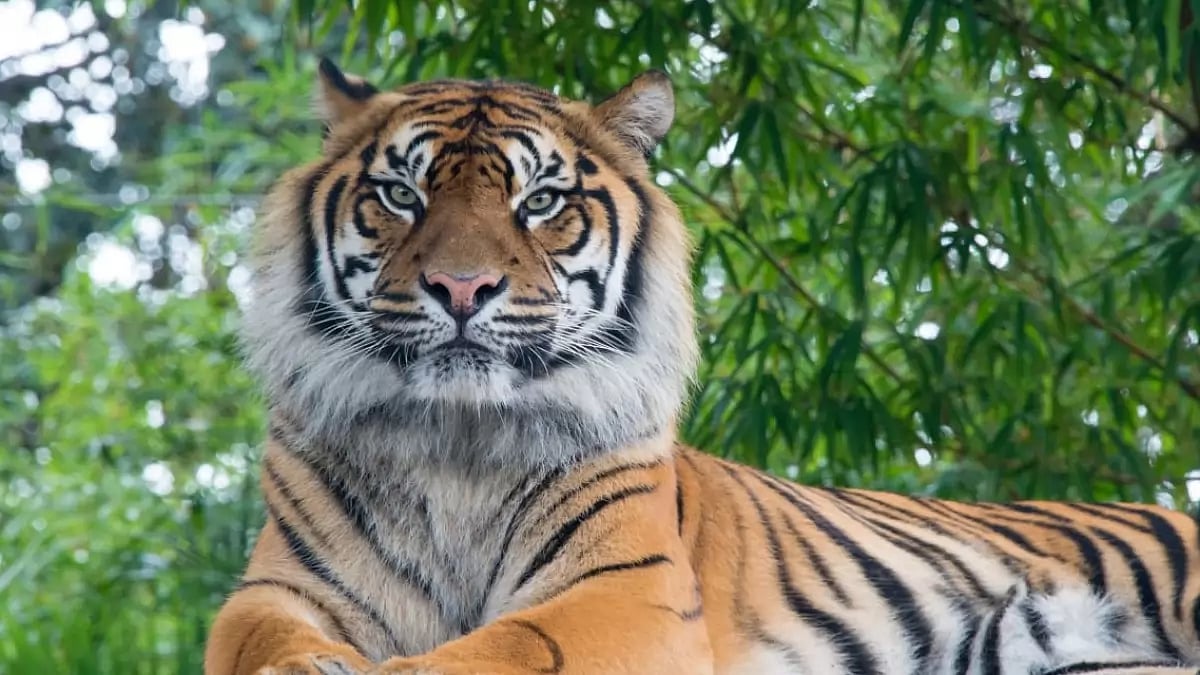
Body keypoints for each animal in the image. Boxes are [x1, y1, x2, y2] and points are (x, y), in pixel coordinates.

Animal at [203, 57, 1200, 675]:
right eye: (401, 194)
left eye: (542, 201)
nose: (461, 286)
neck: (458, 443)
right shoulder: (275, 591)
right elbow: (263, 641)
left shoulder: (622, 592)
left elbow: (499, 649)